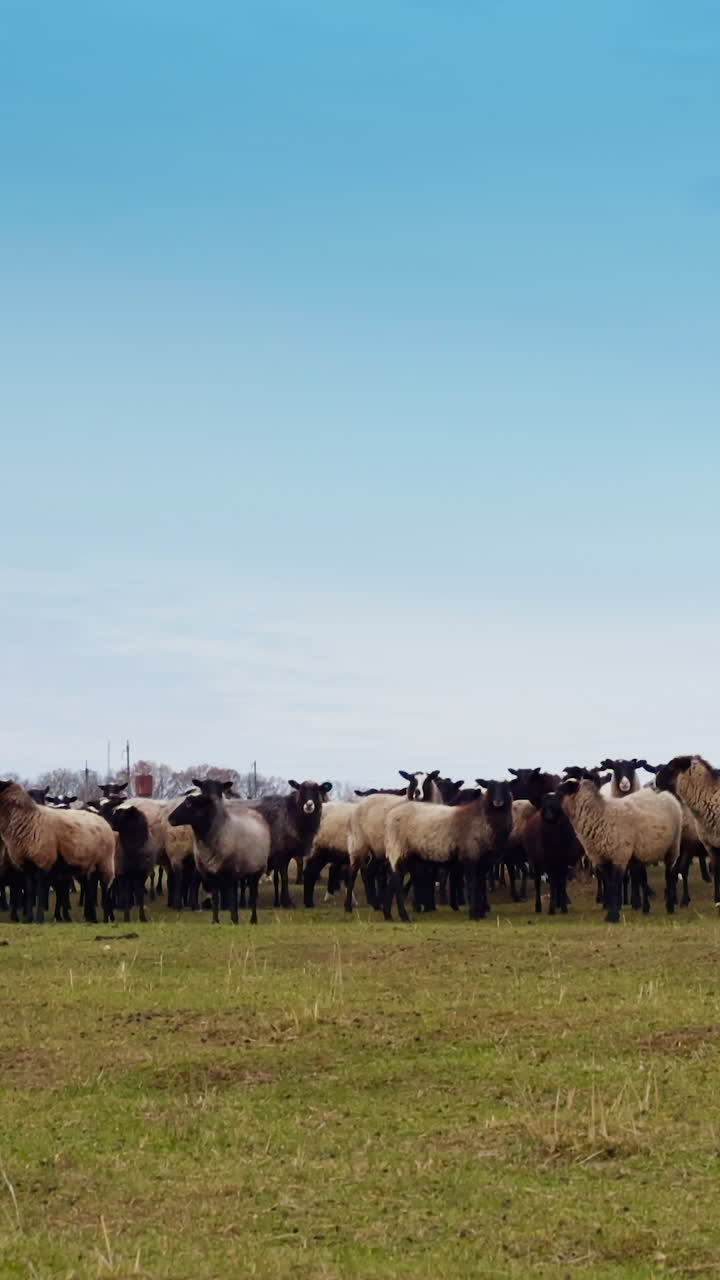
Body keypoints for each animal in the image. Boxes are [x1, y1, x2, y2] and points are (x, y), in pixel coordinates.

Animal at [0, 781, 115, 923]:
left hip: (105, 862)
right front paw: (28, 919)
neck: (29, 819)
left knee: (105, 890)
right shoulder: (27, 866)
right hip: (87, 867)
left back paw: (105, 919)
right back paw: (92, 918)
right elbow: (30, 892)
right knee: (90, 891)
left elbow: (40, 892)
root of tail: (101, 819)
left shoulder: (43, 862)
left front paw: (39, 919)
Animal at [167, 790, 271, 923]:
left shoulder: (231, 872)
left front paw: (234, 920)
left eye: (189, 803)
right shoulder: (210, 874)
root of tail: (255, 813)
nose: (170, 818)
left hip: (256, 871)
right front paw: (215, 921)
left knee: (253, 896)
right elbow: (216, 898)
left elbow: (231, 898)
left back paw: (253, 920)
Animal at [253, 780, 332, 908]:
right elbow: (284, 877)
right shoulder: (281, 853)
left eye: (318, 791)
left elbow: (281, 876)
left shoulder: (286, 854)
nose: (309, 805)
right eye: (301, 789)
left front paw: (282, 902)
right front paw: (287, 902)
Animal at [383, 779, 515, 921]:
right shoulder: (470, 856)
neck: (484, 819)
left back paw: (388, 915)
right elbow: (472, 885)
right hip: (398, 850)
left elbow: (480, 885)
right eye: (490, 787)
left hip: (407, 855)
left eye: (506, 787)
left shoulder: (483, 861)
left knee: (392, 882)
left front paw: (480, 913)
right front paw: (474, 914)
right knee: (396, 881)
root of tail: (389, 816)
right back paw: (404, 916)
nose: (498, 801)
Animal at [557, 774, 682, 922]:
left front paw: (613, 916)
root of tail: (667, 794)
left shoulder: (620, 855)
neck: (600, 816)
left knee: (669, 875)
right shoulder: (600, 858)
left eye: (560, 791)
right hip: (641, 852)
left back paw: (670, 907)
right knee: (643, 879)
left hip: (673, 846)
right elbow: (609, 884)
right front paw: (610, 914)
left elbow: (614, 884)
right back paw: (646, 909)